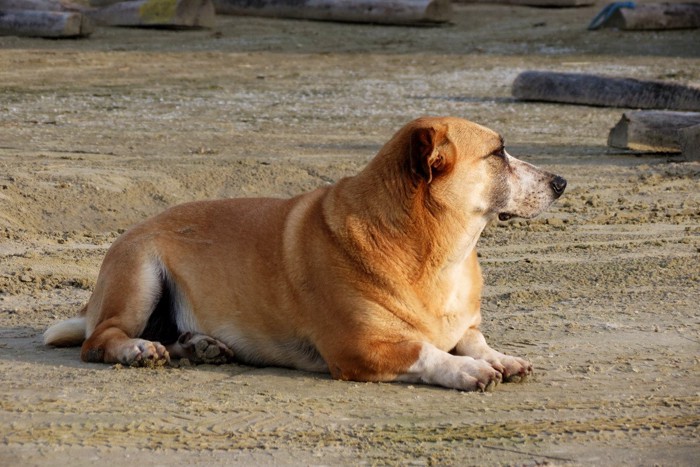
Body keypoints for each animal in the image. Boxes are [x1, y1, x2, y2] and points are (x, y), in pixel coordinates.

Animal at [43, 116, 568, 392]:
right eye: (498, 153)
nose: (562, 182)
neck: (438, 253)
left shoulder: (466, 326)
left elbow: (474, 339)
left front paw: (499, 357)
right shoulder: (360, 348)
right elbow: (428, 352)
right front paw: (466, 370)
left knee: (166, 335)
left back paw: (199, 345)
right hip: (141, 274)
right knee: (99, 341)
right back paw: (136, 350)